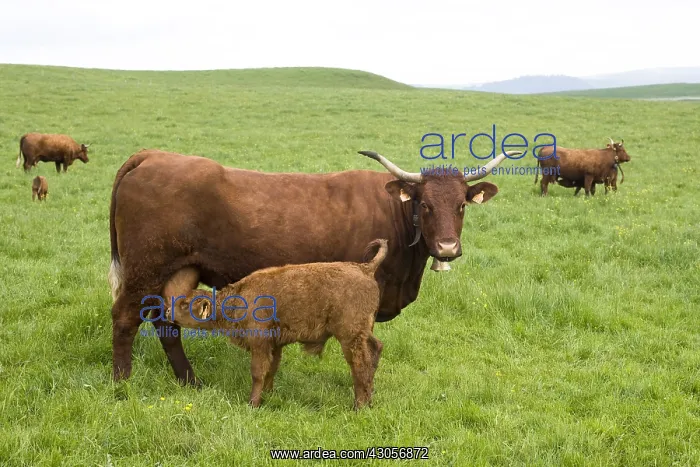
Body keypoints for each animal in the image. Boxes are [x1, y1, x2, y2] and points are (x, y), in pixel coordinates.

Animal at [108, 148, 522, 386]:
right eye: (426, 204)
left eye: (461, 205)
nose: (447, 248)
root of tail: (154, 155)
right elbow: (363, 348)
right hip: (145, 269)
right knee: (126, 319)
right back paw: (122, 384)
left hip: (175, 272)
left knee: (166, 322)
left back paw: (190, 381)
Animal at [166, 239, 389, 409]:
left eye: (185, 304)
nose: (168, 311)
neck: (238, 299)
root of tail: (365, 268)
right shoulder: (275, 345)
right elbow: (271, 370)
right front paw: (268, 394)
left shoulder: (260, 344)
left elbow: (258, 372)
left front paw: (253, 403)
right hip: (364, 332)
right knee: (375, 349)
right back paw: (369, 401)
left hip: (350, 337)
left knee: (360, 365)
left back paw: (358, 406)